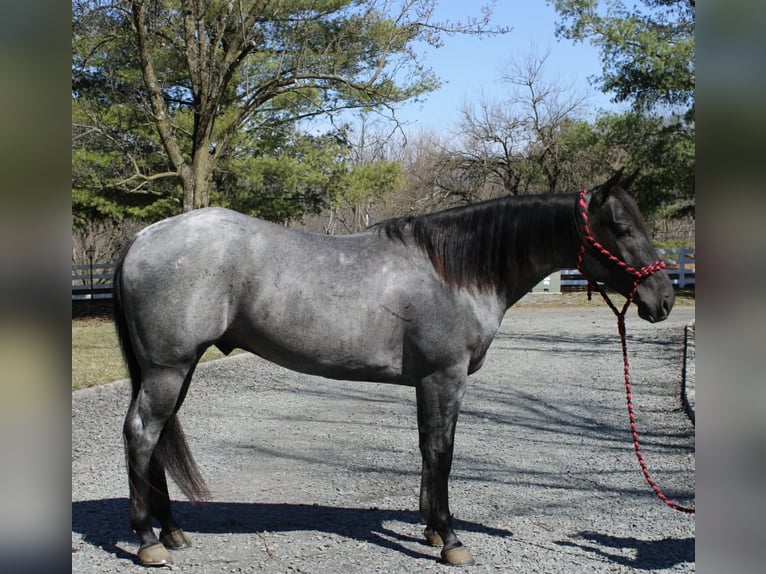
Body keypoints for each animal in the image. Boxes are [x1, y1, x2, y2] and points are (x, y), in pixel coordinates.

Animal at [112, 171, 673, 567]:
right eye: (621, 227)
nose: (663, 300)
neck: (456, 271)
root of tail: (142, 238)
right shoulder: (444, 377)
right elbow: (442, 452)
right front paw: (450, 538)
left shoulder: (429, 382)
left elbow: (428, 450)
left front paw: (430, 527)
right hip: (168, 369)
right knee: (142, 434)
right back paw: (146, 540)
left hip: (177, 371)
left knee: (156, 439)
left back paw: (172, 531)